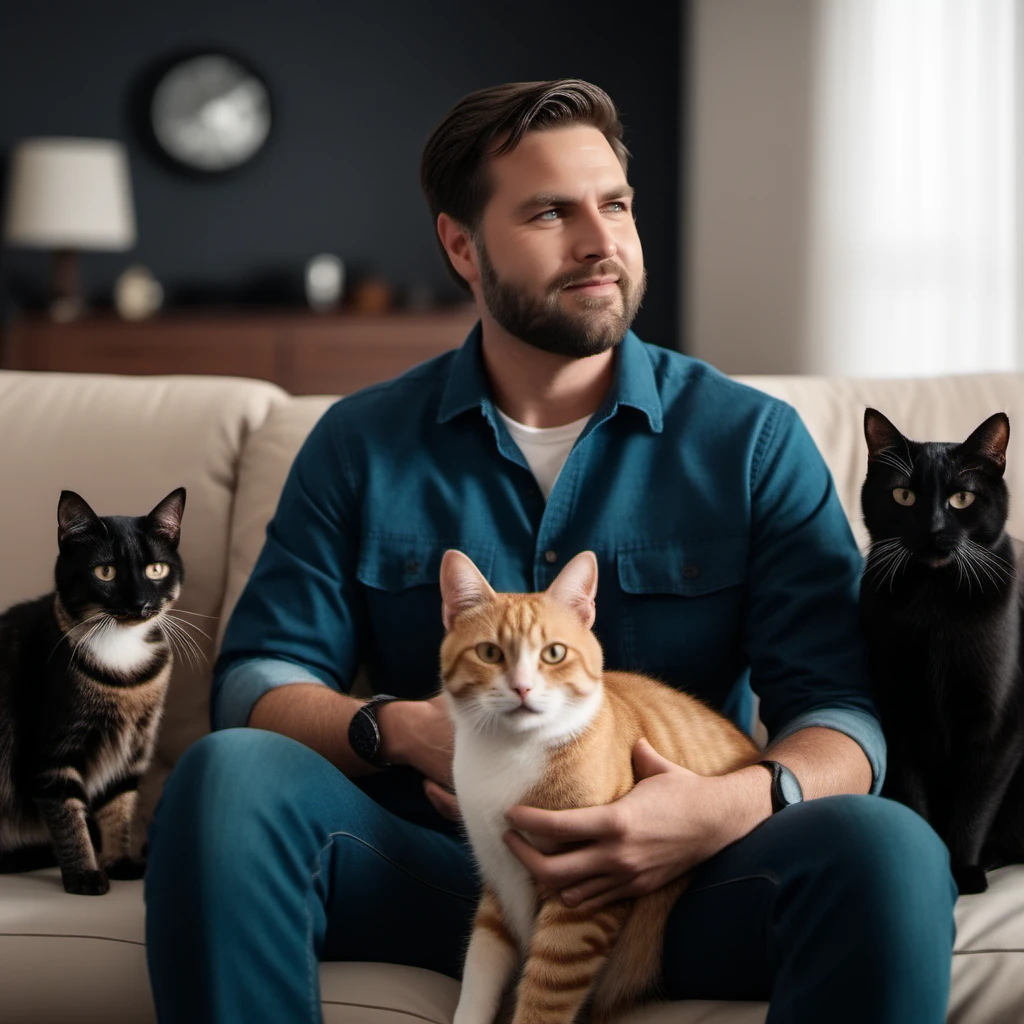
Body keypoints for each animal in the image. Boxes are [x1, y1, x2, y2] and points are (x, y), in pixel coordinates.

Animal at [0, 487, 188, 897]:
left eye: (156, 570)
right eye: (106, 572)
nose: (140, 604)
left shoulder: (134, 747)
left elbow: (118, 804)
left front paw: (120, 862)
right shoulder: (52, 755)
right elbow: (69, 819)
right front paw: (85, 874)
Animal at [440, 552, 761, 1024]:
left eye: (554, 653)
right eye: (489, 653)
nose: (522, 688)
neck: (510, 753)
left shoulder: (583, 899)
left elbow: (544, 995)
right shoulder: (500, 885)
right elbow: (480, 971)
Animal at [860, 403, 1024, 892]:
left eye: (962, 499)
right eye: (904, 496)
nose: (932, 530)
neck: (934, 606)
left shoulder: (999, 727)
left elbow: (974, 806)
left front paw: (963, 871)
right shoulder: (898, 718)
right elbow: (915, 799)